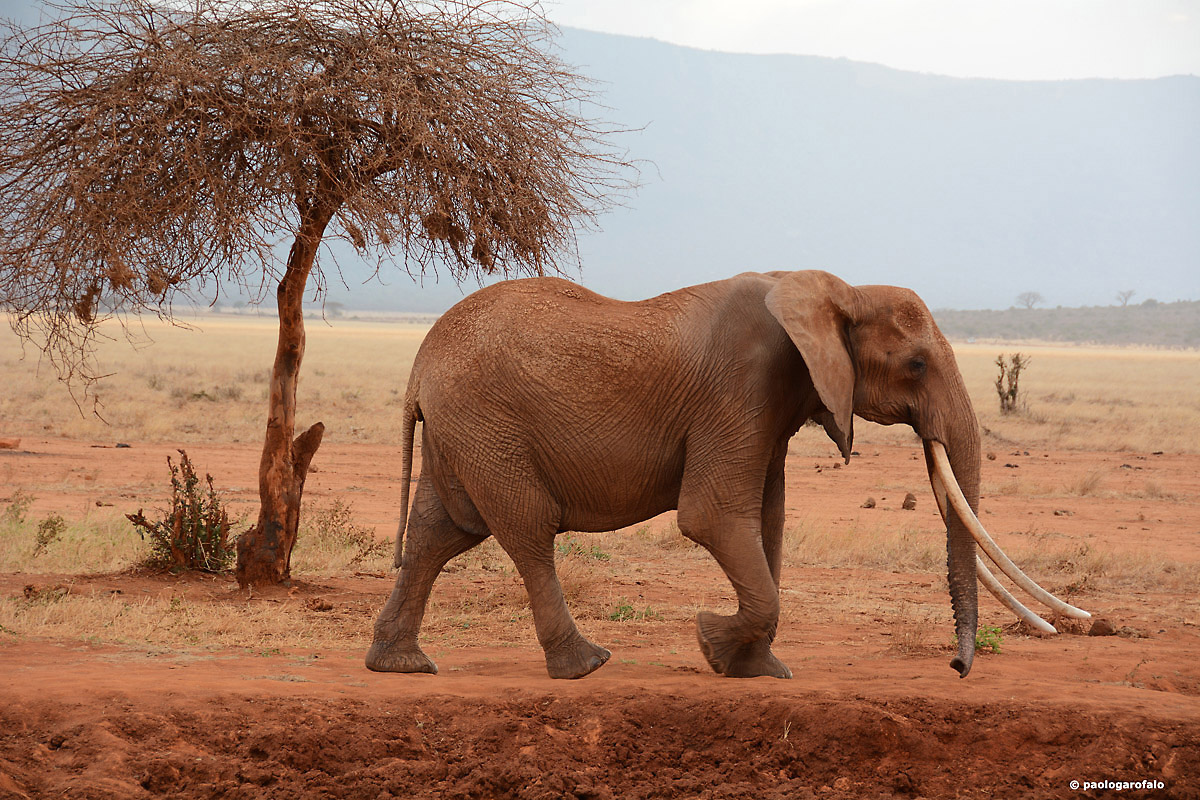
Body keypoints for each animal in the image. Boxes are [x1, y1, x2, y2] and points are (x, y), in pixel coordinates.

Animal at [366, 270, 1088, 680]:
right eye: (915, 365)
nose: (957, 667)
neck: (833, 290)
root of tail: (417, 367)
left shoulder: (773, 402)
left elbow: (766, 520)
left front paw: (757, 669)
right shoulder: (743, 384)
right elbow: (714, 516)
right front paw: (714, 643)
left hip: (462, 431)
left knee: (439, 532)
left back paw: (401, 664)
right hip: (489, 425)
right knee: (526, 531)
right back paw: (585, 667)